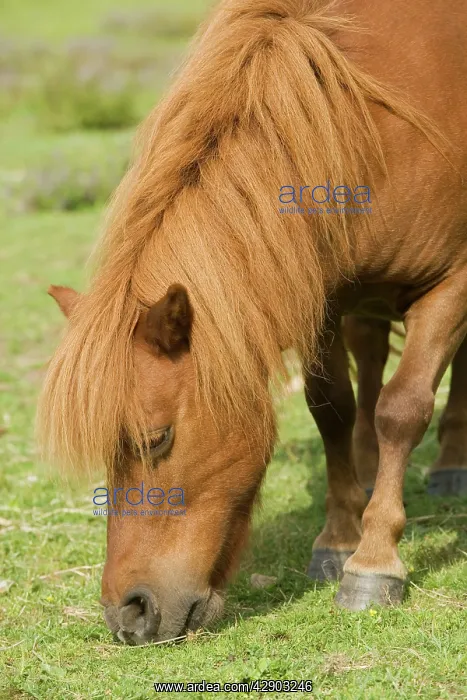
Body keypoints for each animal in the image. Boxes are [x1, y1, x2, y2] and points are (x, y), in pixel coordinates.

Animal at [38, 0, 467, 645]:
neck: (372, 127)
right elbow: (332, 408)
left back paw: (449, 466)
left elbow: (403, 409)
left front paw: (372, 564)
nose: (129, 614)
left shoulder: (451, 284)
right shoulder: (320, 291)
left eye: (156, 439)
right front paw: (337, 539)